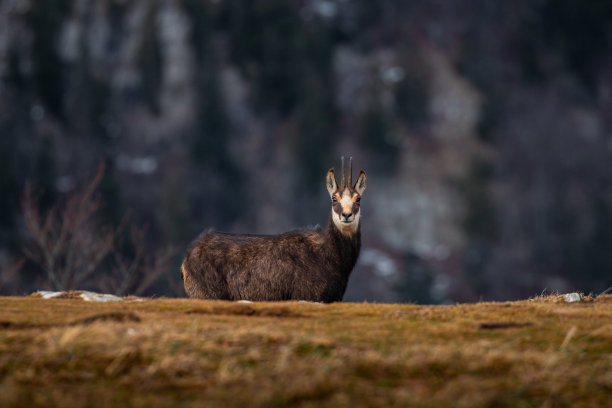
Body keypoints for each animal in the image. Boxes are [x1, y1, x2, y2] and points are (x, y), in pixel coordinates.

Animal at [179, 158, 366, 302]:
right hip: (207, 293)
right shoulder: (306, 294)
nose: (346, 215)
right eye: (334, 198)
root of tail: (185, 261)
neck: (334, 258)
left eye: (358, 199)